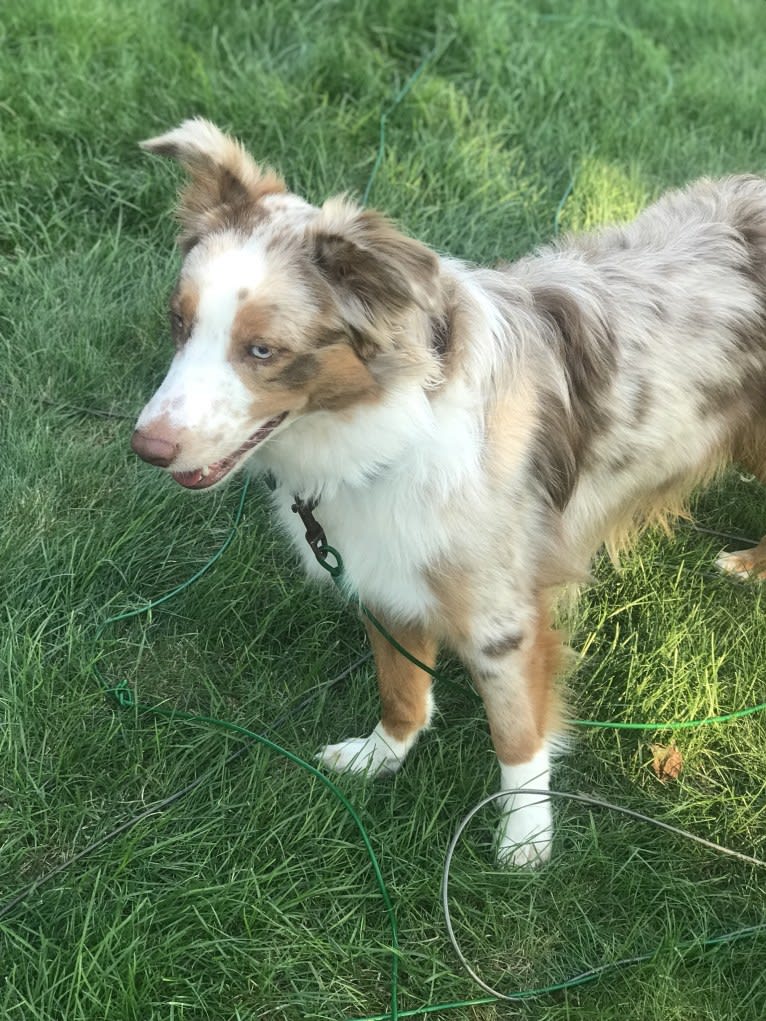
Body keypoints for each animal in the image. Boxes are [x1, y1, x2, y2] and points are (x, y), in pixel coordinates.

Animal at [131, 119, 766, 865]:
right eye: (178, 323)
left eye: (263, 350)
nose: (146, 447)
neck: (390, 424)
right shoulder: (379, 569)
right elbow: (402, 687)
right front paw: (380, 756)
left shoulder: (502, 619)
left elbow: (516, 736)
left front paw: (525, 843)